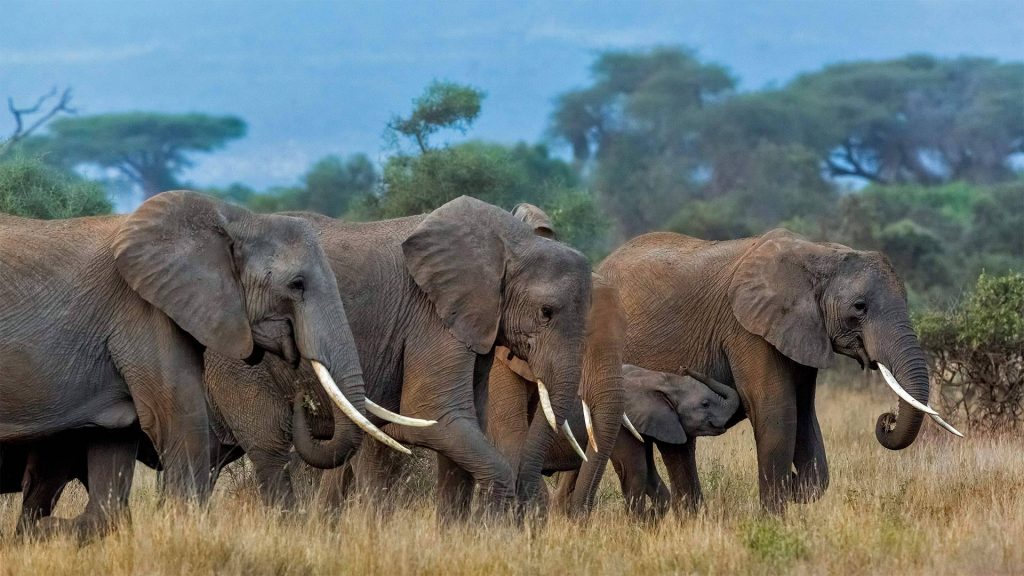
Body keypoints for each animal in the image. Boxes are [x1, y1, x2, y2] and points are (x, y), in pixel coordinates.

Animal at [0, 190, 407, 532]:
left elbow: (115, 439)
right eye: (297, 285)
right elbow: (178, 420)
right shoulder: (142, 312)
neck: (235, 219)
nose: (301, 402)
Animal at [201, 194, 593, 518]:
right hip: (236, 357)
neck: (510, 240)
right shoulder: (431, 317)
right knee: (268, 446)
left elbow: (463, 428)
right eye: (546, 312)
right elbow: (438, 415)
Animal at [598, 227, 962, 510]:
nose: (886, 419)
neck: (821, 255)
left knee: (678, 443)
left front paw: (798, 486)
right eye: (859, 308)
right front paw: (775, 517)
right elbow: (777, 412)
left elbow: (804, 413)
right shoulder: (747, 330)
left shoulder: (803, 331)